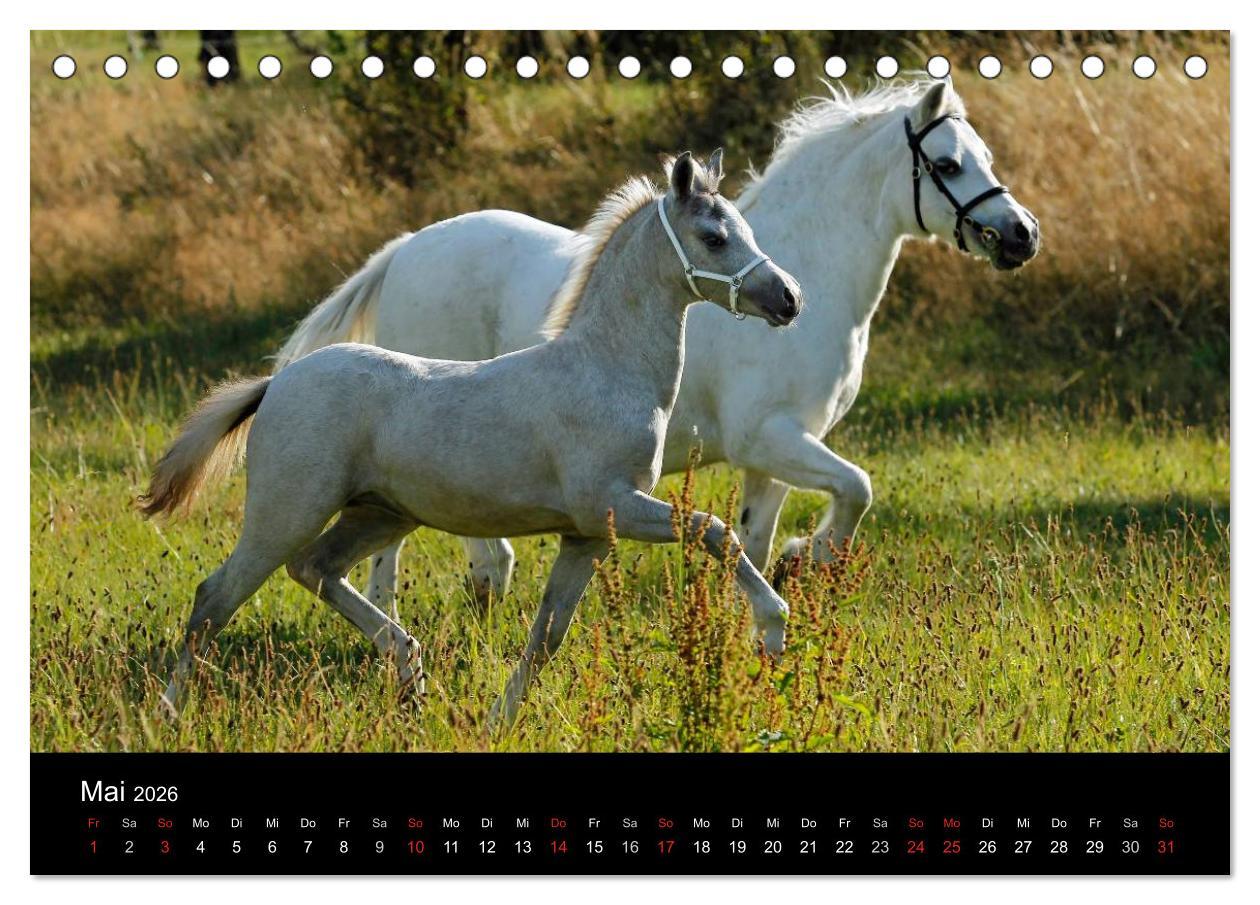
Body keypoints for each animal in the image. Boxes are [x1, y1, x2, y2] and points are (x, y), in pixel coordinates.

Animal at [141, 152, 803, 727]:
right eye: (714, 237)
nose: (789, 298)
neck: (606, 369)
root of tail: (277, 383)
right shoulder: (612, 505)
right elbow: (714, 531)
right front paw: (773, 628)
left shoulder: (585, 536)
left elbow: (546, 638)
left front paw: (497, 721)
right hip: (286, 511)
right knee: (216, 597)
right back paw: (170, 712)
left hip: (379, 515)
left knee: (316, 569)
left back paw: (409, 666)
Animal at [275, 78, 1041, 617]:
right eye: (948, 164)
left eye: (985, 158)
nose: (1022, 235)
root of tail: (405, 250)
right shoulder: (771, 437)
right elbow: (857, 488)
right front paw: (809, 559)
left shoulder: (773, 456)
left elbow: (755, 536)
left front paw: (763, 600)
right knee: (418, 552)